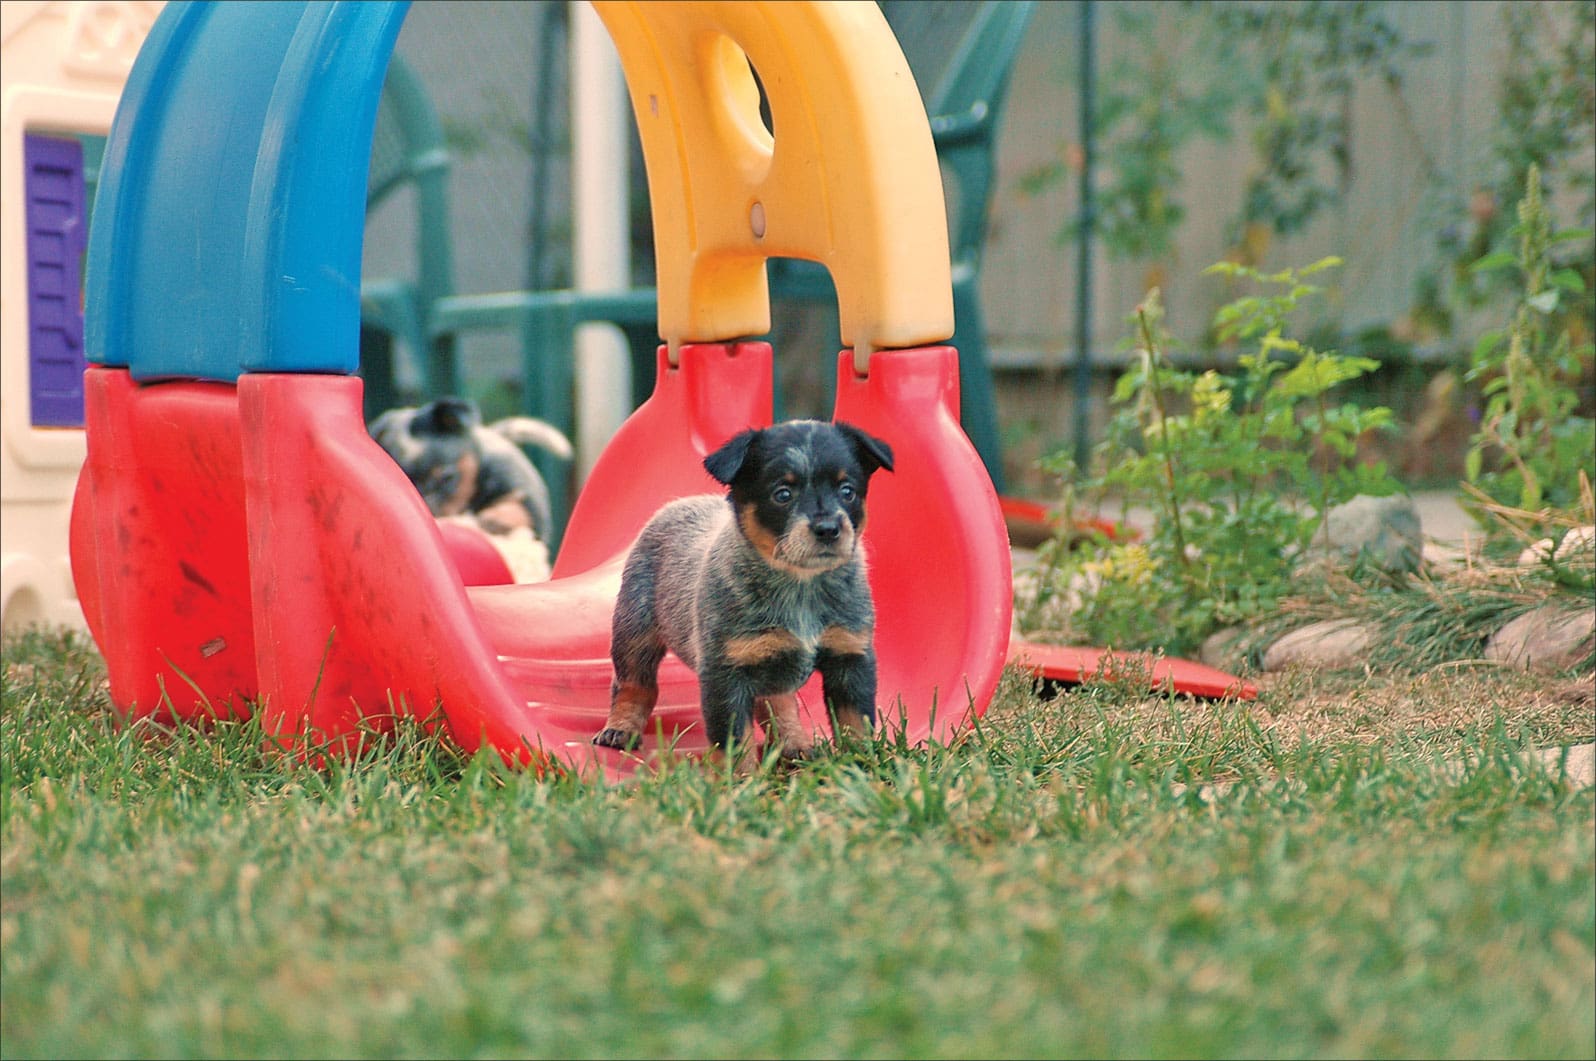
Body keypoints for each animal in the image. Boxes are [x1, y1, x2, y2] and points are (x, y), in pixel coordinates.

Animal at [593, 418, 893, 756]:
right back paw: (620, 728)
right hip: (634, 630)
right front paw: (739, 771)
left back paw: (794, 743)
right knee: (634, 684)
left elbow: (856, 727)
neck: (801, 587)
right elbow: (734, 743)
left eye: (847, 491)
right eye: (782, 494)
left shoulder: (850, 656)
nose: (828, 528)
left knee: (778, 701)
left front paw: (861, 763)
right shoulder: (726, 671)